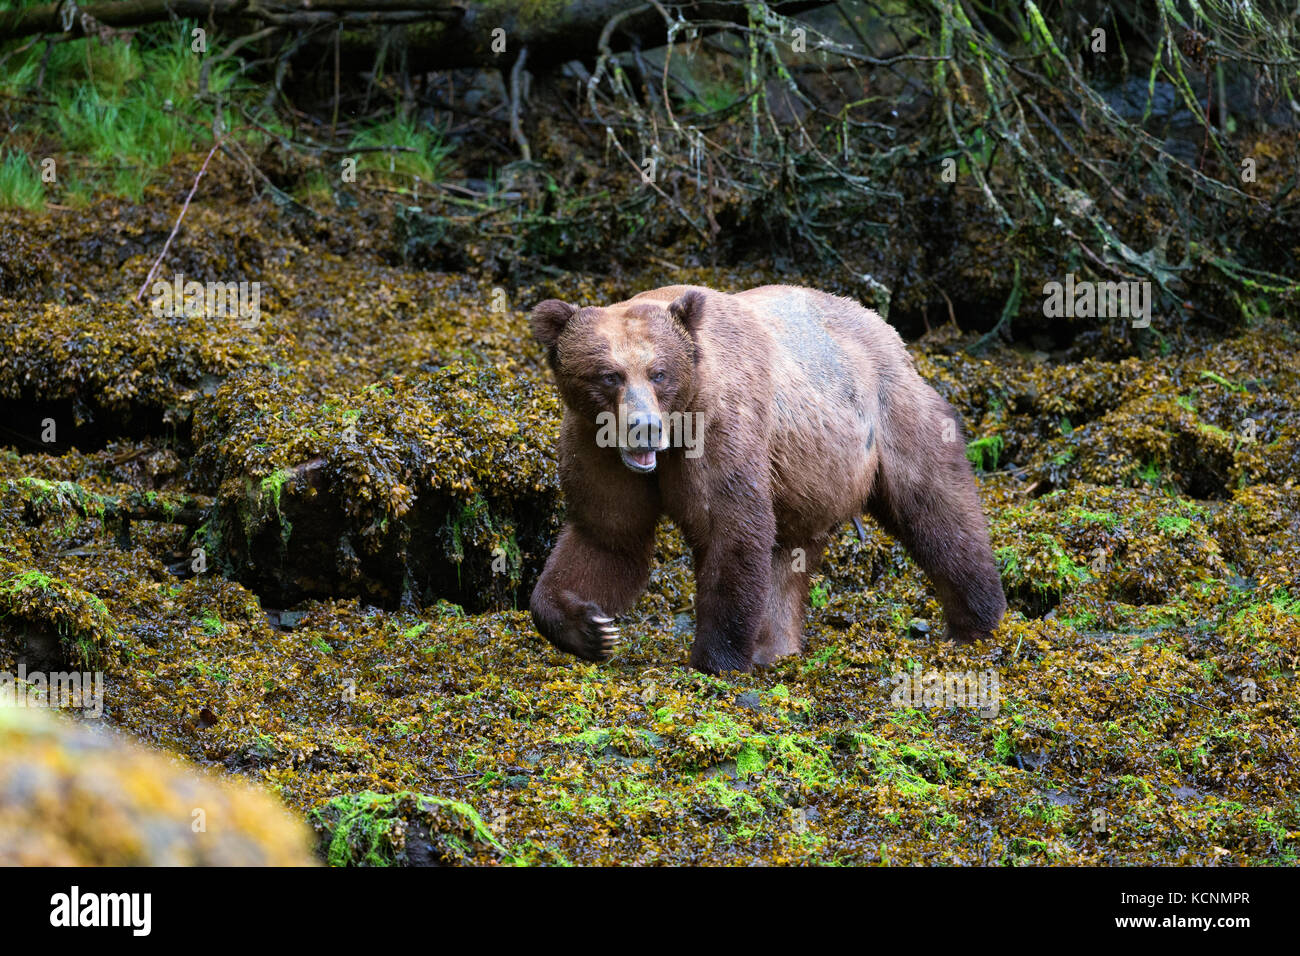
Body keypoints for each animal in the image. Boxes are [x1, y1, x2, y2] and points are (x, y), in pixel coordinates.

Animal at [527, 283, 1003, 671]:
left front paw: (713, 660)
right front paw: (590, 628)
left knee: (937, 510)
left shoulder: (721, 427)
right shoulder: (595, 444)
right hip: (805, 478)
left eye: (659, 372)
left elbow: (731, 525)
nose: (643, 426)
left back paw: (976, 623)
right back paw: (775, 648)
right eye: (610, 375)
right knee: (787, 556)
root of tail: (889, 332)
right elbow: (607, 537)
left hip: (889, 418)